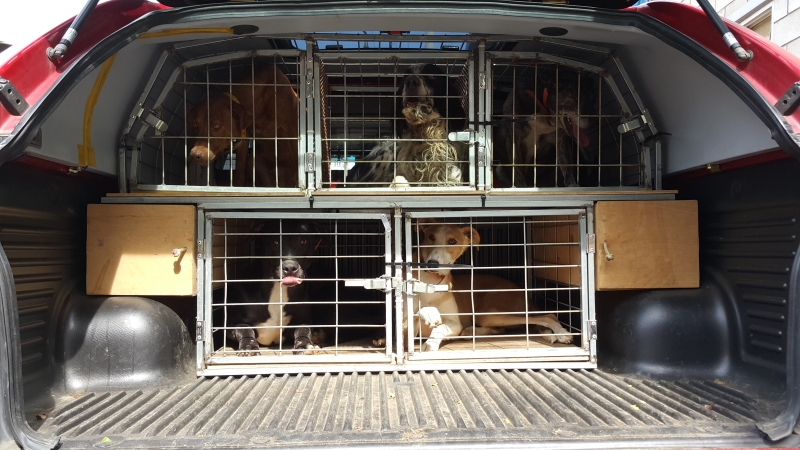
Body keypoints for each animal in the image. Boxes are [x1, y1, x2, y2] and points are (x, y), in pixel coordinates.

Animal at [219, 220, 323, 355]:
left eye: (303, 241)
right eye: (275, 242)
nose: (290, 267)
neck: (278, 291)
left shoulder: (303, 320)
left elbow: (303, 331)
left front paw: (305, 346)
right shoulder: (231, 323)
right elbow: (244, 329)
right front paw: (248, 346)